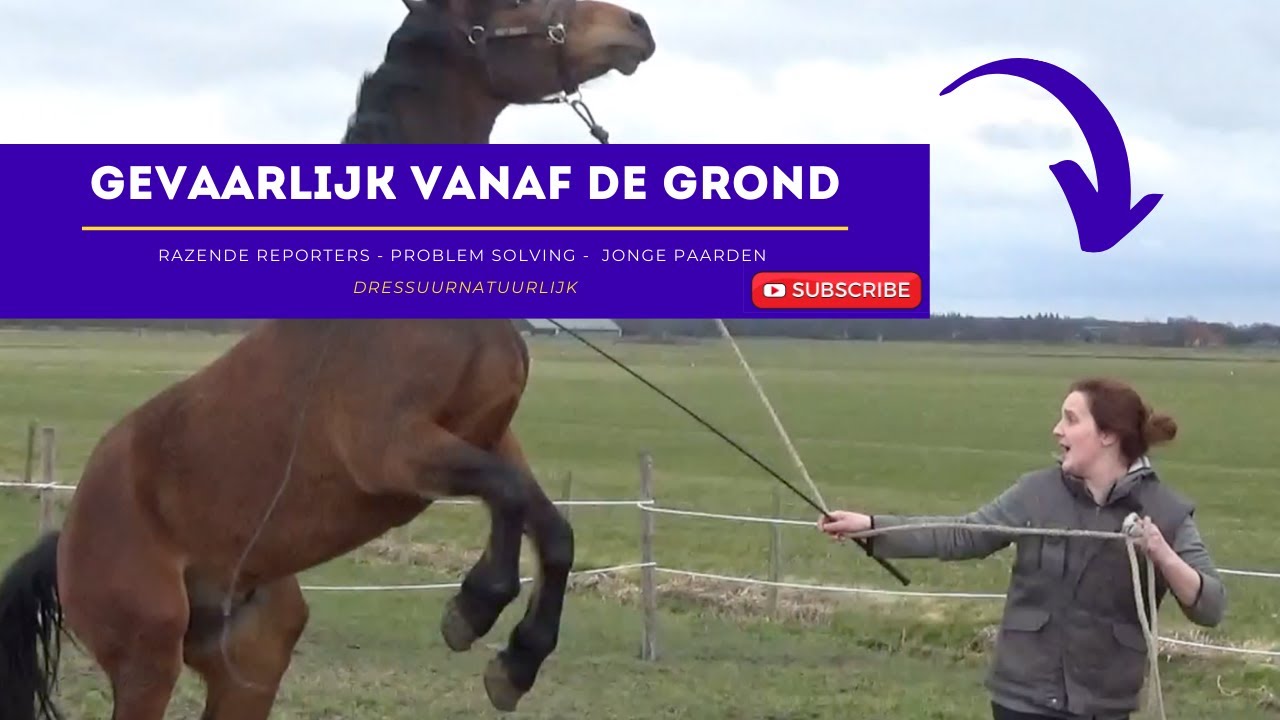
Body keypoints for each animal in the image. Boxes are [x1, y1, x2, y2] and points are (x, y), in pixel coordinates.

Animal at [0, 0, 657, 718]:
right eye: (512, 5)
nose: (636, 27)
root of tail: (68, 537)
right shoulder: (391, 451)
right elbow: (509, 496)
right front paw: (474, 611)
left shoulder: (485, 433)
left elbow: (548, 525)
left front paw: (513, 657)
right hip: (149, 657)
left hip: (252, 654)